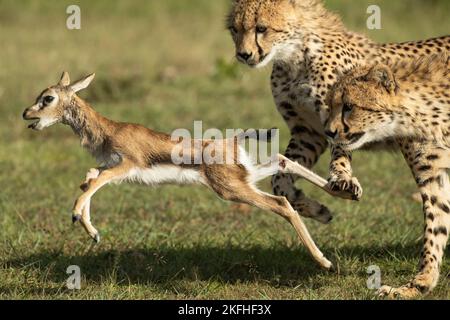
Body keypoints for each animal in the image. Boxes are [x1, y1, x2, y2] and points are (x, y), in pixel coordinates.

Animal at [326, 53, 450, 298]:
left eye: (349, 106)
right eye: (330, 105)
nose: (329, 132)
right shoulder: (433, 176)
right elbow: (436, 225)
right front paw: (418, 285)